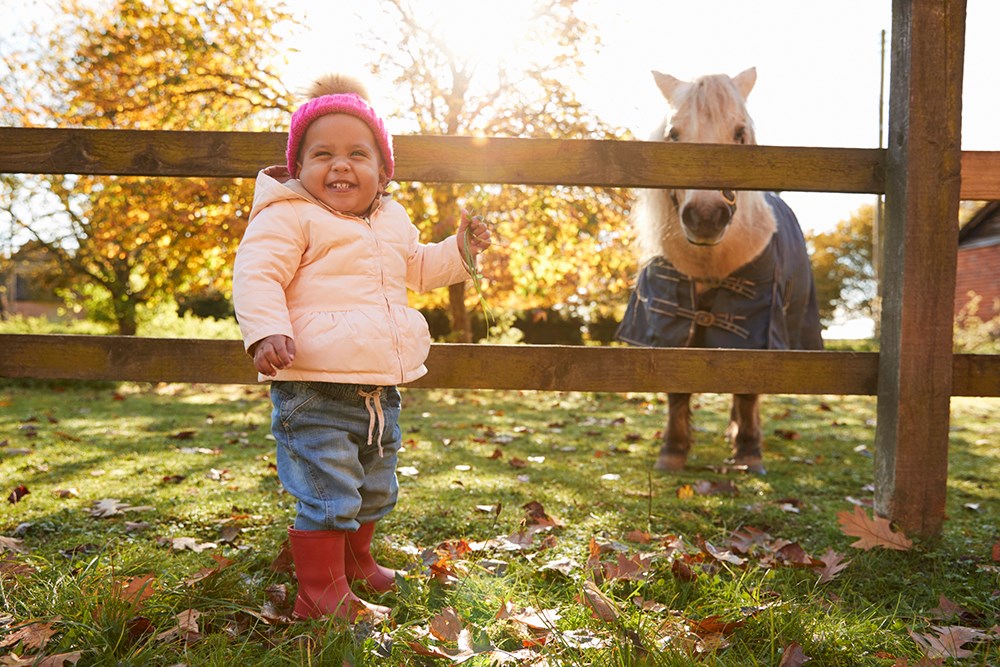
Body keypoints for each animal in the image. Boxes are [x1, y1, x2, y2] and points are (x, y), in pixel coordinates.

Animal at [612, 68, 824, 472]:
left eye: (739, 133)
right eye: (674, 134)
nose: (706, 217)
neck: (711, 261)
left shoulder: (756, 322)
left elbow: (747, 387)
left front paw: (748, 451)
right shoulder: (670, 320)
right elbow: (677, 386)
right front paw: (673, 451)